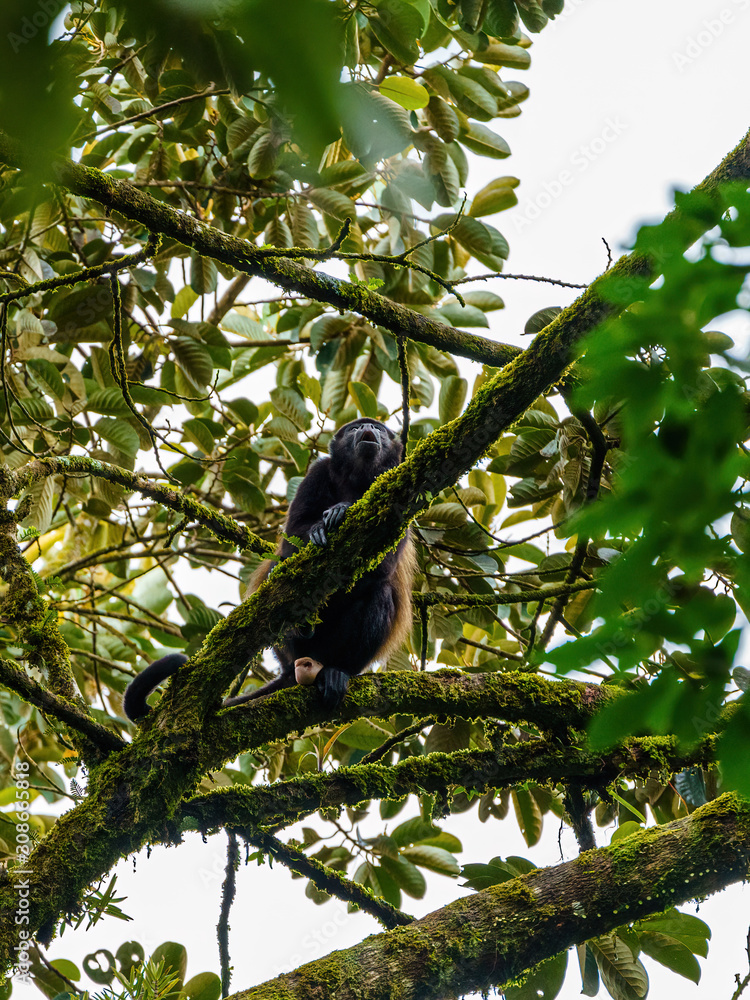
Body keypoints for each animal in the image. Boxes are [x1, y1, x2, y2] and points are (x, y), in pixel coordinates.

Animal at [123, 418, 415, 721]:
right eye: (354, 428)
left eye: (379, 428)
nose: (368, 427)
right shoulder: (318, 472)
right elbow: (292, 537)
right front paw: (325, 523)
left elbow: (384, 566)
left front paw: (342, 510)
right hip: (287, 651)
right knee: (283, 574)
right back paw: (300, 622)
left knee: (380, 594)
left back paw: (336, 672)